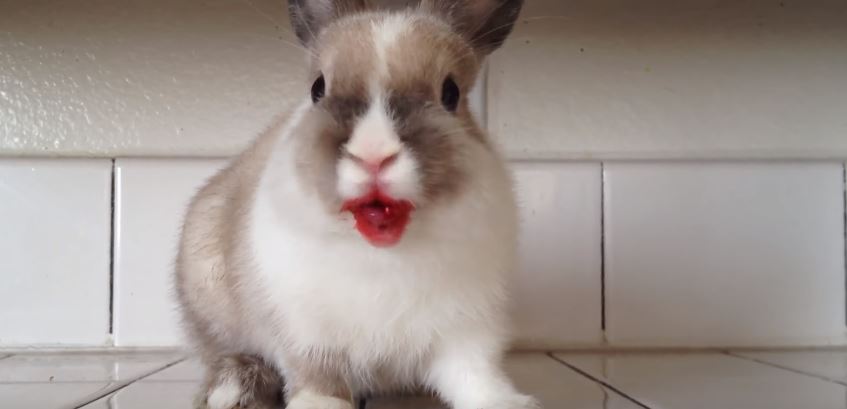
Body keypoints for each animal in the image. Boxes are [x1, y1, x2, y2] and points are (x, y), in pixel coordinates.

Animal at [174, 1, 536, 408]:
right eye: (317, 88)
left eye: (451, 93)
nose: (374, 154)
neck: (384, 253)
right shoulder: (305, 330)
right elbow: (316, 373)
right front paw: (319, 405)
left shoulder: (466, 327)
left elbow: (474, 373)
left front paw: (507, 402)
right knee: (225, 353)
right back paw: (232, 391)